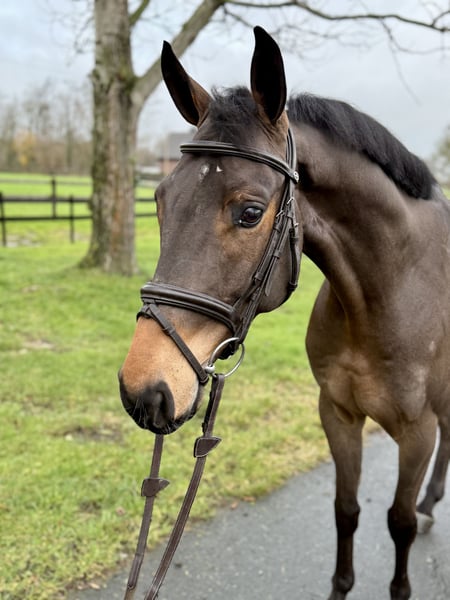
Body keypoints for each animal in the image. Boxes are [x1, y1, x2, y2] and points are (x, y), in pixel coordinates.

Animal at [119, 26, 450, 600]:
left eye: (251, 213)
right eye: (159, 200)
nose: (144, 388)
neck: (389, 293)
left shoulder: (417, 432)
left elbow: (399, 522)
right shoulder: (337, 414)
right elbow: (346, 510)